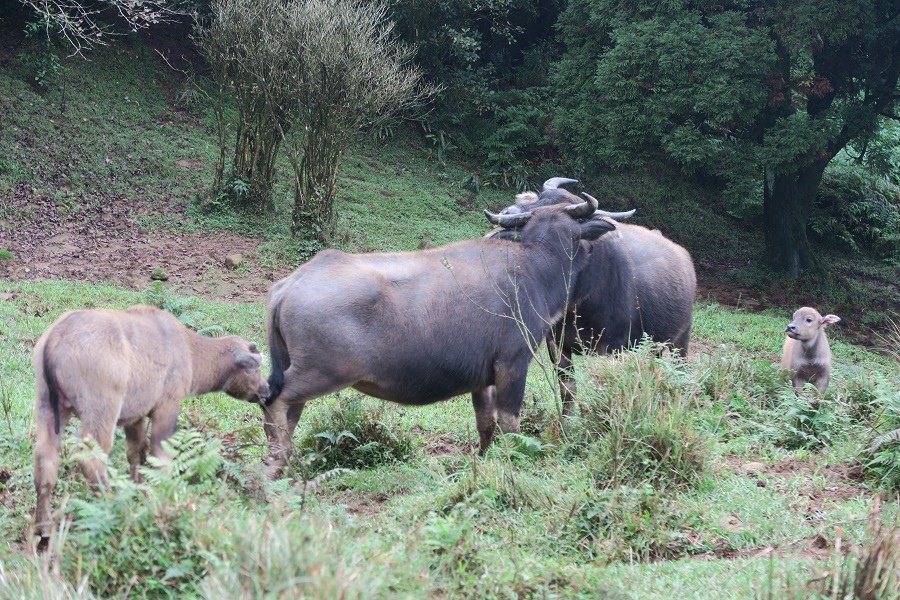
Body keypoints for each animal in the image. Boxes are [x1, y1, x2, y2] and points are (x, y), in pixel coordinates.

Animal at [32, 304, 270, 548]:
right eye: (255, 368)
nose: (267, 390)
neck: (191, 355)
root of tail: (56, 337)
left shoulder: (135, 417)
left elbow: (137, 453)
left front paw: (138, 491)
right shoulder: (167, 407)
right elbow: (161, 457)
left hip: (48, 407)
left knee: (45, 458)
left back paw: (44, 528)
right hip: (101, 412)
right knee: (91, 460)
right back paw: (112, 507)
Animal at [260, 195, 620, 476]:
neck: (536, 266)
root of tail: (290, 284)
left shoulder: (483, 378)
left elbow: (485, 423)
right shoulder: (513, 364)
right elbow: (510, 422)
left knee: (285, 411)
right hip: (320, 372)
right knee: (275, 401)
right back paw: (282, 459)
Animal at [492, 177, 696, 412]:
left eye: (570, 237)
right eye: (528, 235)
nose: (507, 212)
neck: (578, 304)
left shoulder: (613, 348)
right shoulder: (557, 345)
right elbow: (567, 389)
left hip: (681, 340)